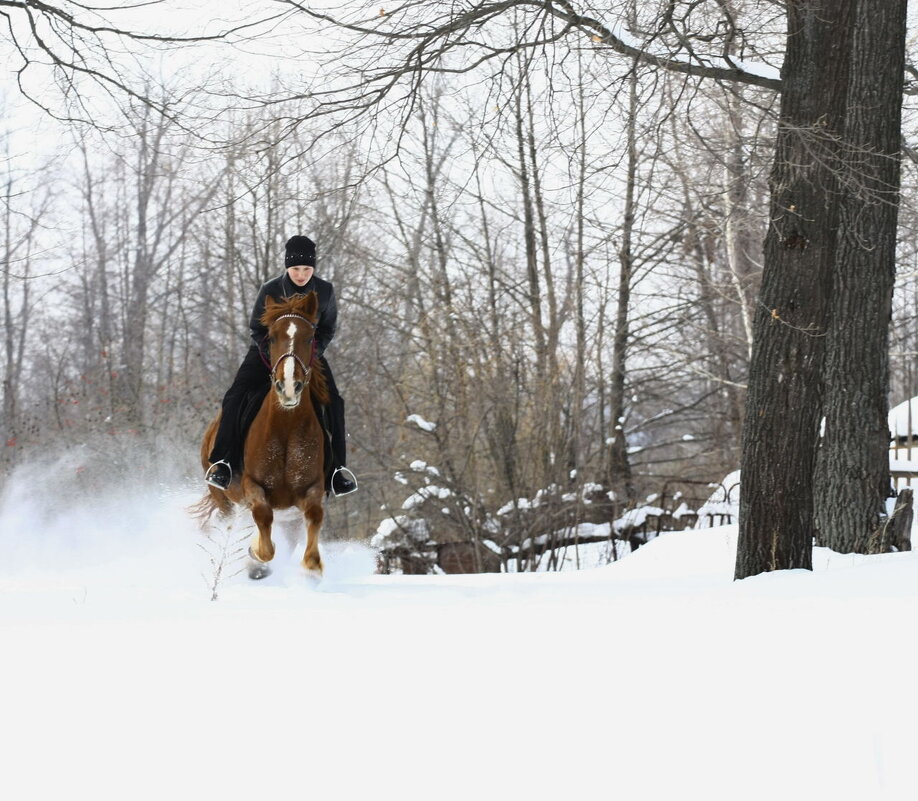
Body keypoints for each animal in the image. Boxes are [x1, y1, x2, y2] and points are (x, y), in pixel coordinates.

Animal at [192, 290, 328, 580]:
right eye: (272, 337)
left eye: (309, 338)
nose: (288, 387)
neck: (286, 427)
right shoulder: (252, 485)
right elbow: (263, 518)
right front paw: (256, 557)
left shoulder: (312, 488)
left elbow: (314, 516)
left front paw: (312, 566)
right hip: (222, 496)